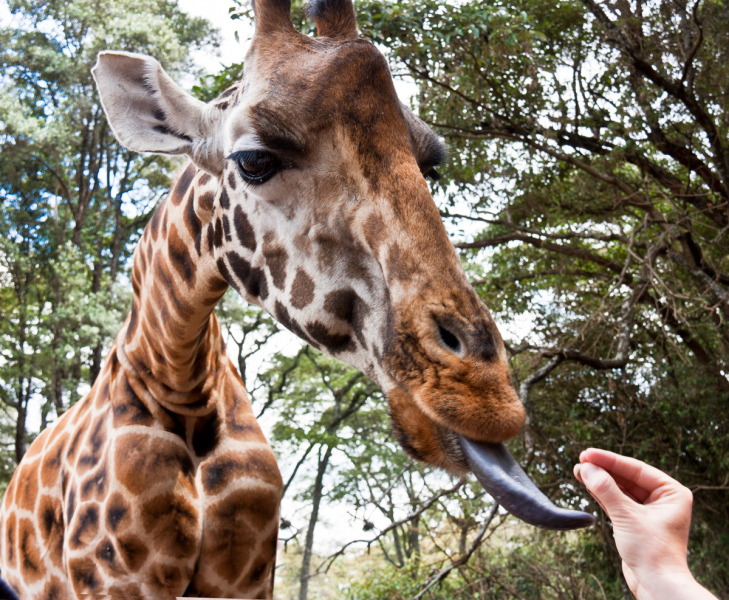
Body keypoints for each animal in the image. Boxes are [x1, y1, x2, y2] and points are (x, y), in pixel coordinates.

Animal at [0, 0, 592, 596]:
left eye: (429, 164)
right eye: (254, 160)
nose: (485, 398)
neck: (183, 383)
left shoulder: (247, 575)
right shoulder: (115, 578)